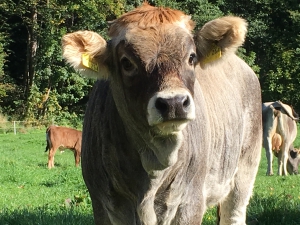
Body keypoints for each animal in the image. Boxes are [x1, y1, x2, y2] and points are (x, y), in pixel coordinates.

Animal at [61, 3, 262, 225]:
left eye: (191, 57)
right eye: (127, 63)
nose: (173, 103)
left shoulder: (191, 201)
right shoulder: (101, 203)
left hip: (244, 172)